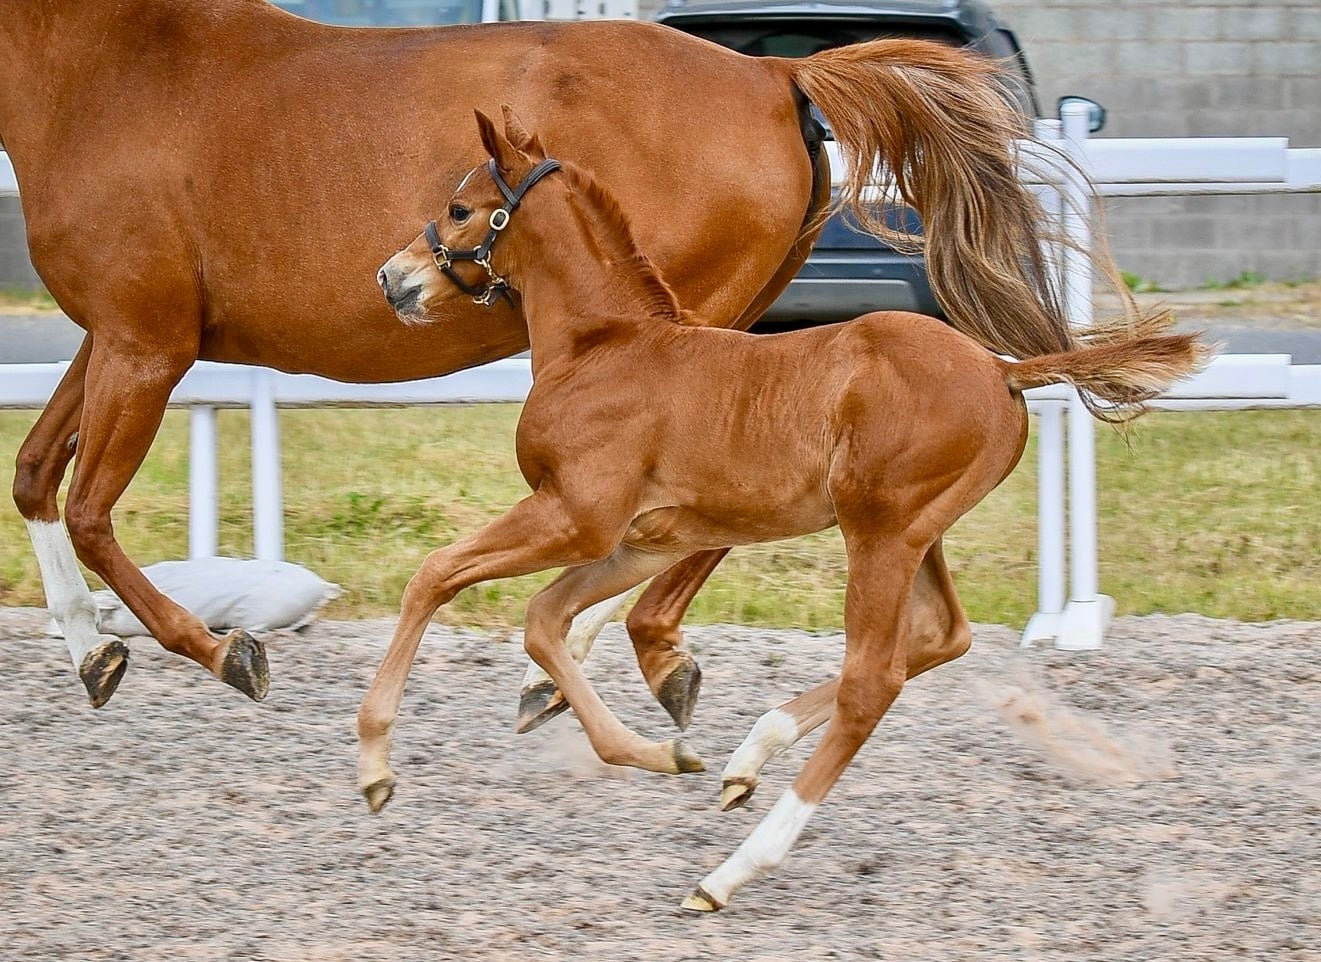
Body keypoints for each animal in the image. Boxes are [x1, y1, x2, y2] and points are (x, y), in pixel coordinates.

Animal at [5, 1, 1124, 713]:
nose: (391, 280)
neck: (109, 71)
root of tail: (772, 72)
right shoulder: (109, 336)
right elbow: (36, 476)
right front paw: (93, 656)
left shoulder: (147, 343)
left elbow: (91, 508)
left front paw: (222, 650)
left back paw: (591, 664)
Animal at [358, 108, 1206, 910]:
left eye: (460, 208)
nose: (391, 278)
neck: (604, 349)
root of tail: (1000, 368)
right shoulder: (643, 541)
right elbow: (542, 621)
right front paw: (659, 751)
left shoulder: (575, 517)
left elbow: (435, 575)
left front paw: (372, 765)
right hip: (915, 534)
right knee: (940, 637)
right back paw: (746, 760)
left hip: (878, 535)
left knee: (873, 679)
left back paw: (727, 873)